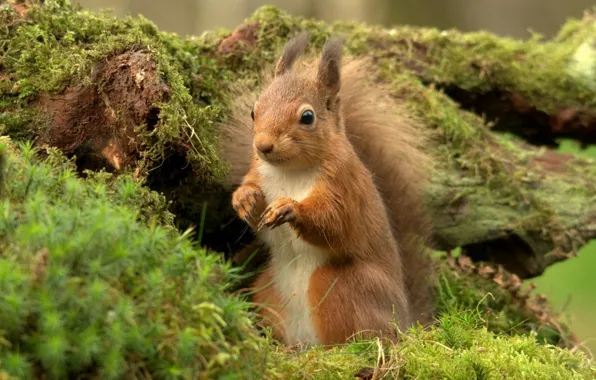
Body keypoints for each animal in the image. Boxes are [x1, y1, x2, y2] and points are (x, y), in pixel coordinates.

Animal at [217, 31, 436, 348]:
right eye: (253, 111)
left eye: (307, 117)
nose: (263, 146)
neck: (290, 172)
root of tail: (403, 320)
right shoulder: (258, 172)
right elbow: (254, 202)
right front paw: (244, 198)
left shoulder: (344, 186)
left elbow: (334, 222)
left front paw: (290, 208)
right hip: (267, 291)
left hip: (340, 286)